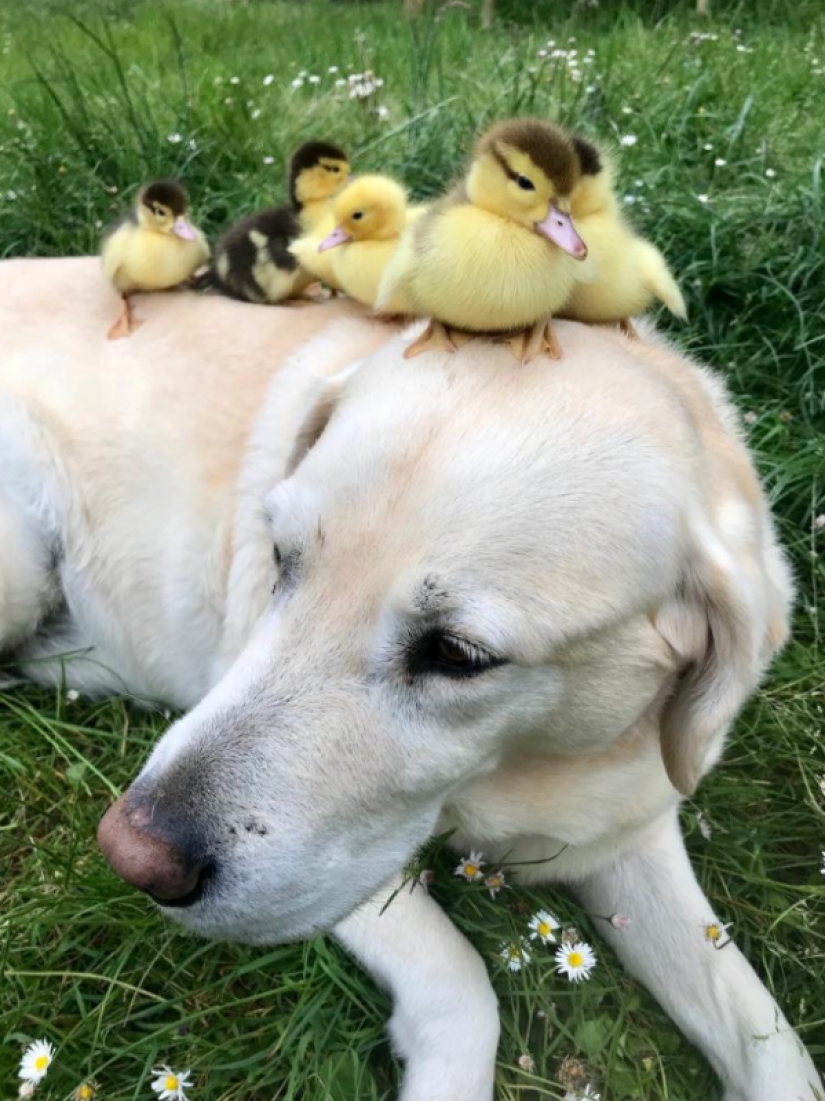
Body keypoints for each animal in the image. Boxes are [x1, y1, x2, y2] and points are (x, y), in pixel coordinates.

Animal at [3, 262, 819, 1101]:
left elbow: (771, 1042)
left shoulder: (629, 828)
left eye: (456, 653)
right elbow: (460, 984)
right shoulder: (358, 874)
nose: (132, 856)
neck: (524, 773)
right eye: (280, 557)